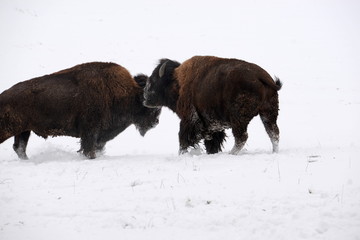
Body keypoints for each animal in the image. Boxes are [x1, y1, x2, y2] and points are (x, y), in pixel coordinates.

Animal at [0, 62, 160, 159]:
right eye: (150, 105)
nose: (156, 122)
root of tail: (3, 96)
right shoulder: (90, 131)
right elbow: (89, 149)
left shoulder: (99, 136)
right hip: (10, 129)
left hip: (24, 131)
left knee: (19, 148)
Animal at [143, 55, 282, 155]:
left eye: (155, 79)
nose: (144, 94)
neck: (178, 83)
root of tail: (261, 76)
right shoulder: (213, 127)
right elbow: (211, 143)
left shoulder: (189, 120)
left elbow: (183, 140)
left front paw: (182, 154)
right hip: (268, 113)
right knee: (273, 133)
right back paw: (274, 152)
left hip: (239, 119)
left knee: (242, 137)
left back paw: (231, 154)